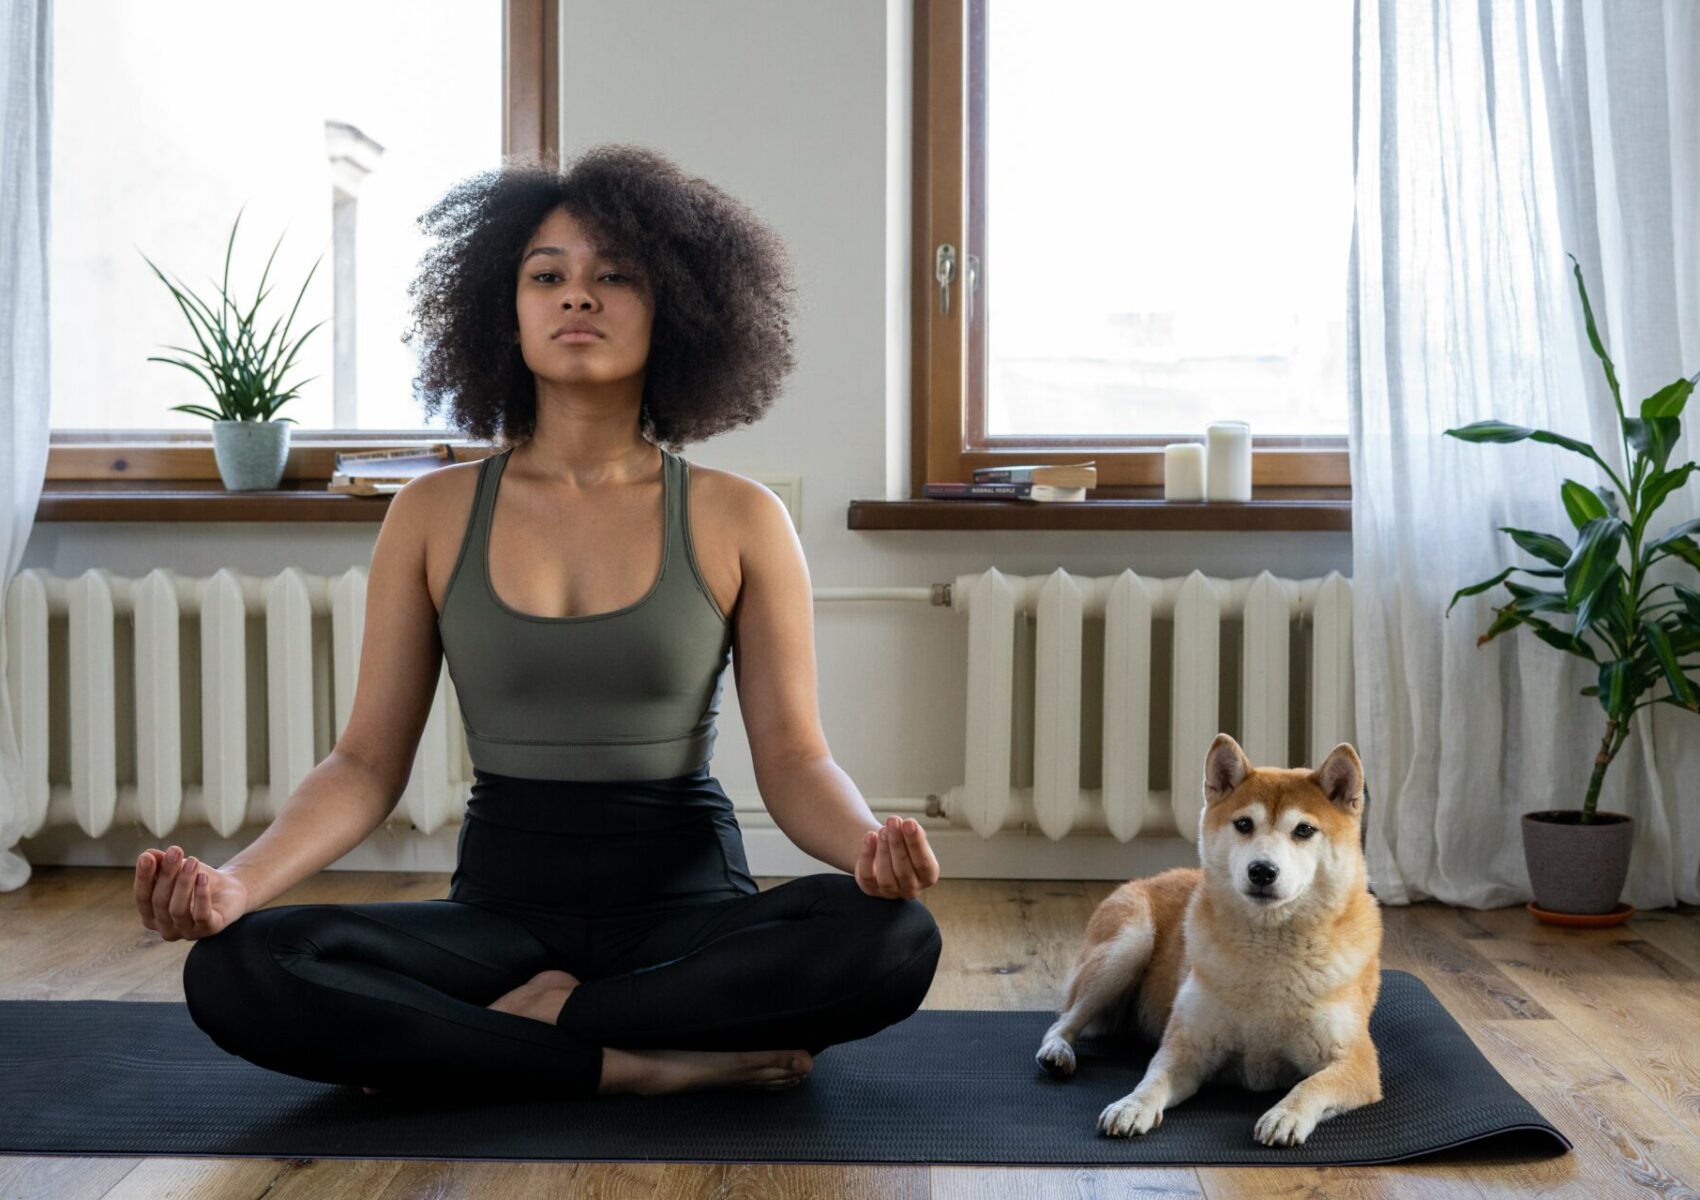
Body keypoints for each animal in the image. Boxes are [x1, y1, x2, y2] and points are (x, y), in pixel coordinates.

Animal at [1033, 727, 1380, 1142]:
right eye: (1244, 824)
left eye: (1304, 830)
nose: (1262, 871)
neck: (1268, 955)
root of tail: (1145, 879)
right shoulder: (1187, 1046)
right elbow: (1151, 1081)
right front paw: (1131, 1106)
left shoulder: (1357, 1063)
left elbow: (1311, 1085)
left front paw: (1285, 1114)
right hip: (1127, 947)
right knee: (1063, 1021)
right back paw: (1057, 1052)